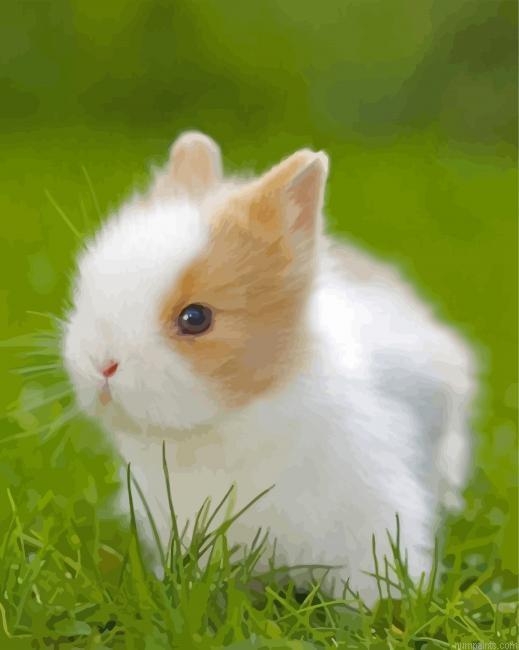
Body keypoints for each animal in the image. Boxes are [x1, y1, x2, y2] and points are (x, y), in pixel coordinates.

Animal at [63, 131, 476, 602]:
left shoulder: (376, 513)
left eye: (195, 318)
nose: (102, 363)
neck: (234, 422)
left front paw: (384, 611)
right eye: (87, 285)